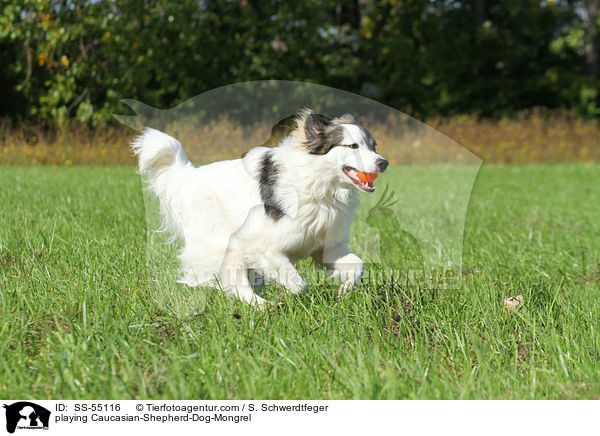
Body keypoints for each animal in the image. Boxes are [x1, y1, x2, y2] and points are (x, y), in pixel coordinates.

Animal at [132, 109, 390, 306]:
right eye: (353, 146)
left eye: (374, 146)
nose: (384, 162)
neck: (319, 184)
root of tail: (189, 177)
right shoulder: (261, 245)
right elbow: (298, 283)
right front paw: (292, 296)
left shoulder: (326, 246)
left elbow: (358, 265)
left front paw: (344, 291)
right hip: (226, 242)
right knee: (237, 283)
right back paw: (263, 307)